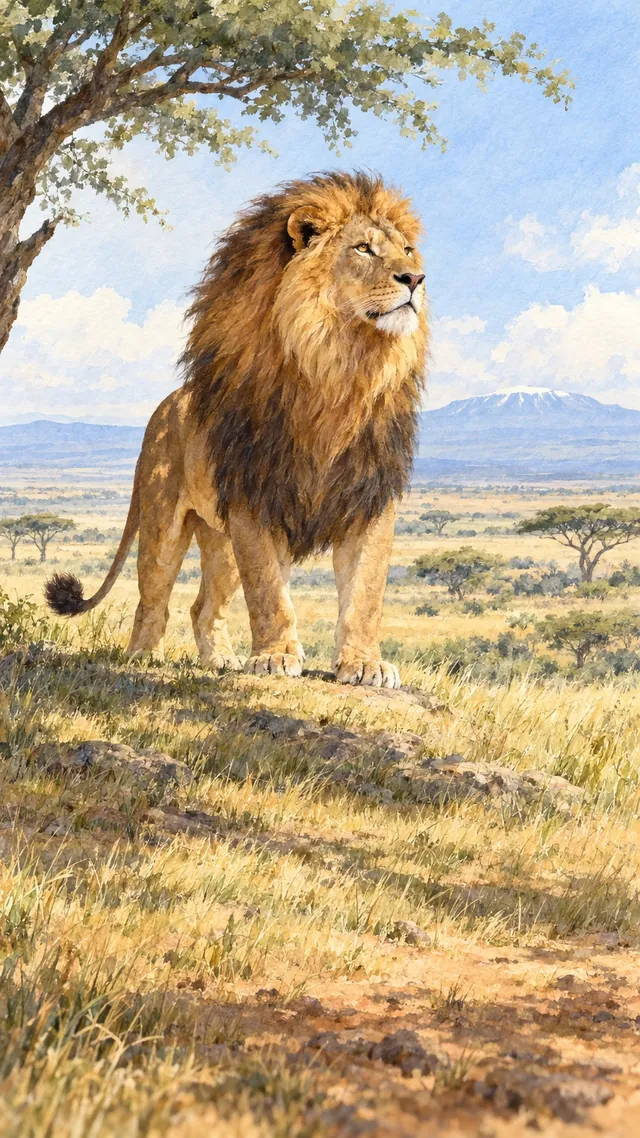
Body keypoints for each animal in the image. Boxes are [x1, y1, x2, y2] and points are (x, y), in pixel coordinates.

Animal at [45, 171, 428, 688]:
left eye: (407, 250)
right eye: (363, 249)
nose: (415, 279)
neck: (342, 371)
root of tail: (165, 404)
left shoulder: (368, 497)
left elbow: (365, 594)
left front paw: (364, 664)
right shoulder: (255, 498)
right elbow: (268, 591)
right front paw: (275, 657)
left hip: (221, 539)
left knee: (203, 607)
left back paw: (219, 660)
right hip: (164, 522)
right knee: (154, 597)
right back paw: (143, 656)